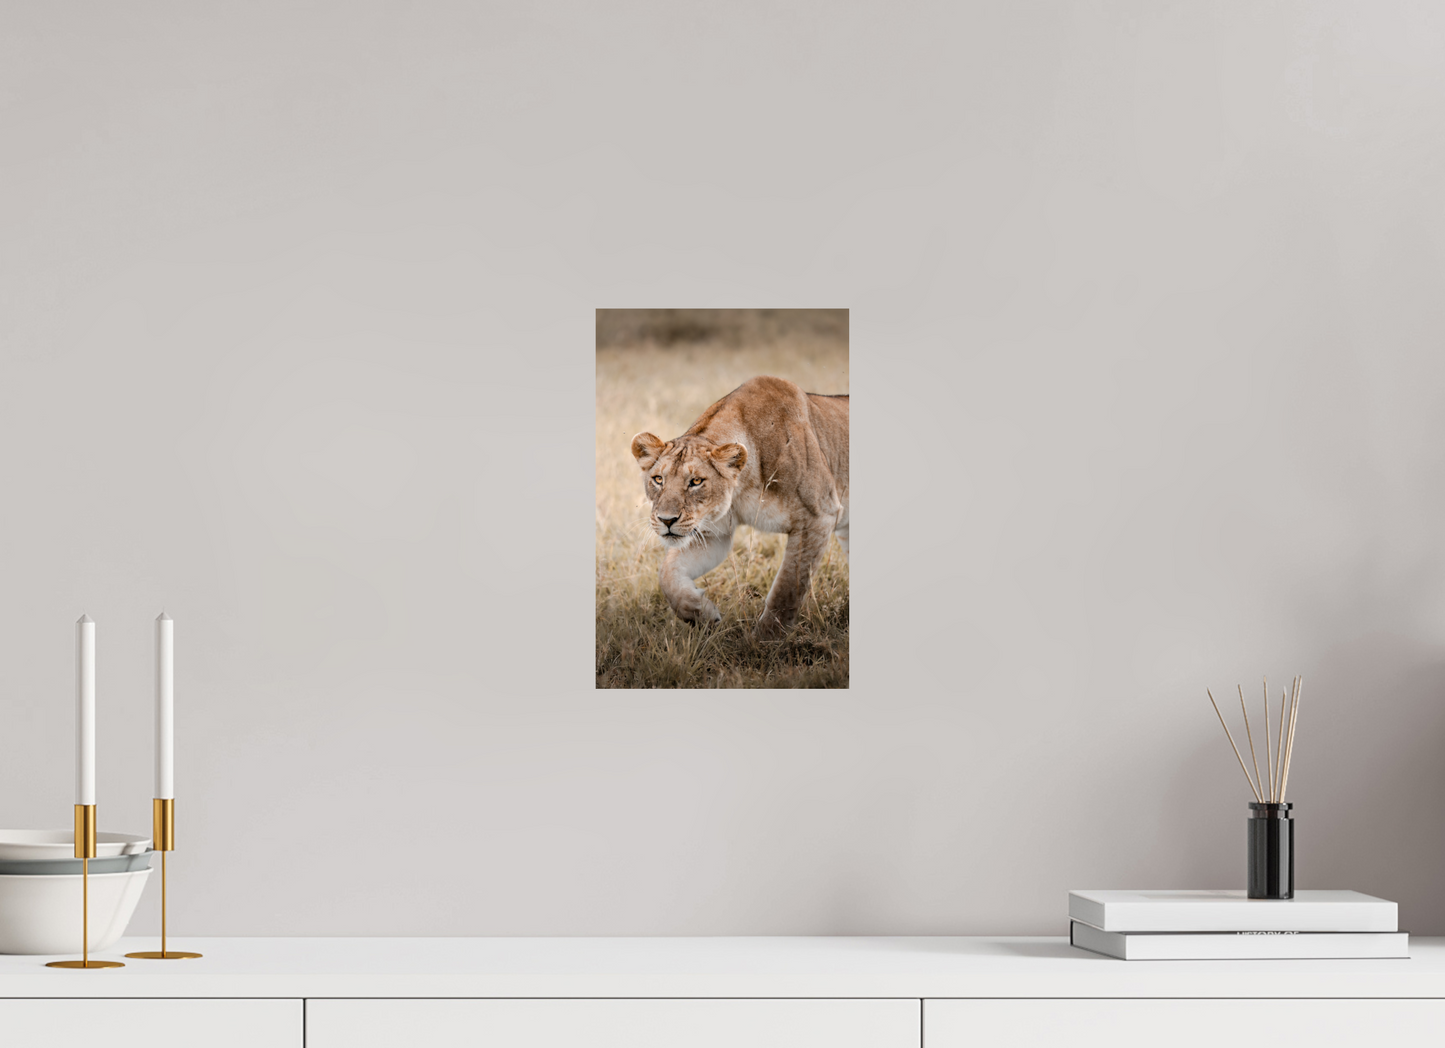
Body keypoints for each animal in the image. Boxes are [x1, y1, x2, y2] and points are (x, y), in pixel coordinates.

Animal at [630, 375, 848, 640]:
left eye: (696, 482)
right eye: (658, 479)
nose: (666, 520)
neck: (742, 488)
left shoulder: (819, 517)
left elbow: (788, 588)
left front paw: (766, 640)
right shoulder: (712, 533)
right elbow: (667, 575)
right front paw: (703, 614)